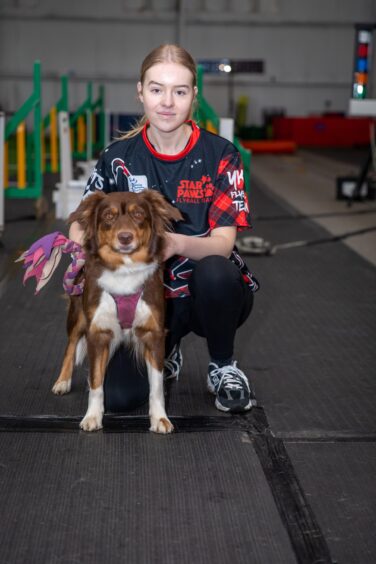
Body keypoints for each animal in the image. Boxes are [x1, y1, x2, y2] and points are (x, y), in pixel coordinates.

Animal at [51, 189, 182, 432]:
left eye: (138, 214)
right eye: (108, 216)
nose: (125, 237)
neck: (125, 269)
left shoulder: (154, 334)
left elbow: (157, 385)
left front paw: (160, 418)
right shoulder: (97, 332)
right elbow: (96, 382)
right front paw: (92, 416)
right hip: (78, 313)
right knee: (71, 345)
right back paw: (62, 381)